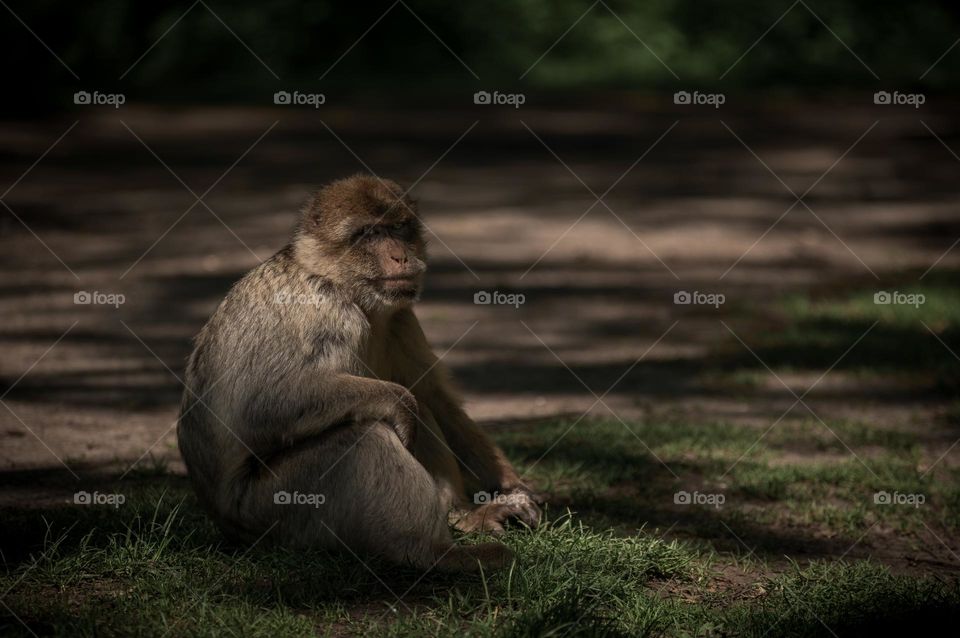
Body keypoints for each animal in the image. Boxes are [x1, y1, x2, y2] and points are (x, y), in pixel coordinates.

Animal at [177, 174, 542, 572]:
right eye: (368, 233)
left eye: (398, 227)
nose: (400, 255)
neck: (345, 287)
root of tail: (226, 525)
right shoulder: (328, 312)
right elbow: (261, 406)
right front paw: (399, 403)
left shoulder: (401, 318)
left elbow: (435, 398)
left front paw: (511, 488)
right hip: (271, 509)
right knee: (365, 435)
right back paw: (432, 553)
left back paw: (460, 516)